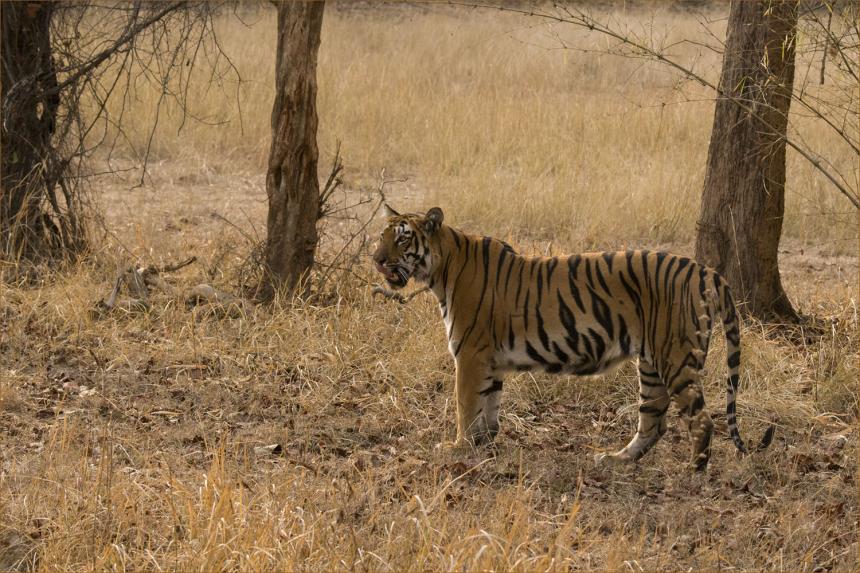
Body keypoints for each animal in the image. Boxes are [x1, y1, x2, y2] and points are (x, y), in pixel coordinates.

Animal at [372, 206, 776, 470]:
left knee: (702, 420)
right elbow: (489, 408)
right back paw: (616, 460)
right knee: (654, 420)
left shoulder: (470, 354)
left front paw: (457, 448)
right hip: (650, 363)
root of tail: (707, 271)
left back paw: (693, 474)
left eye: (403, 239)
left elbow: (465, 406)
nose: (376, 259)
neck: (442, 268)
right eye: (381, 237)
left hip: (675, 357)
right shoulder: (490, 361)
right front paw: (482, 447)